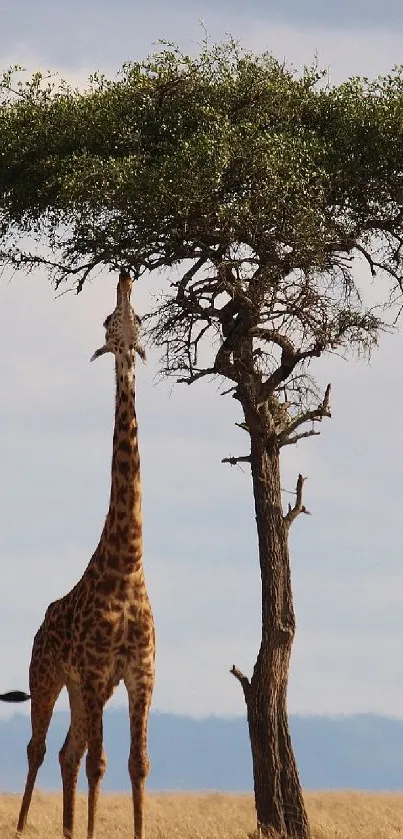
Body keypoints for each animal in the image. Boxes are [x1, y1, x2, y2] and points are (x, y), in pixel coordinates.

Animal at [10, 270, 156, 839]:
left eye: (137, 317)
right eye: (109, 320)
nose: (125, 277)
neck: (128, 566)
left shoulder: (137, 673)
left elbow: (137, 764)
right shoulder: (95, 671)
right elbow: (101, 763)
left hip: (81, 688)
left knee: (67, 752)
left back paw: (70, 830)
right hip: (48, 677)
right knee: (39, 748)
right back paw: (24, 827)